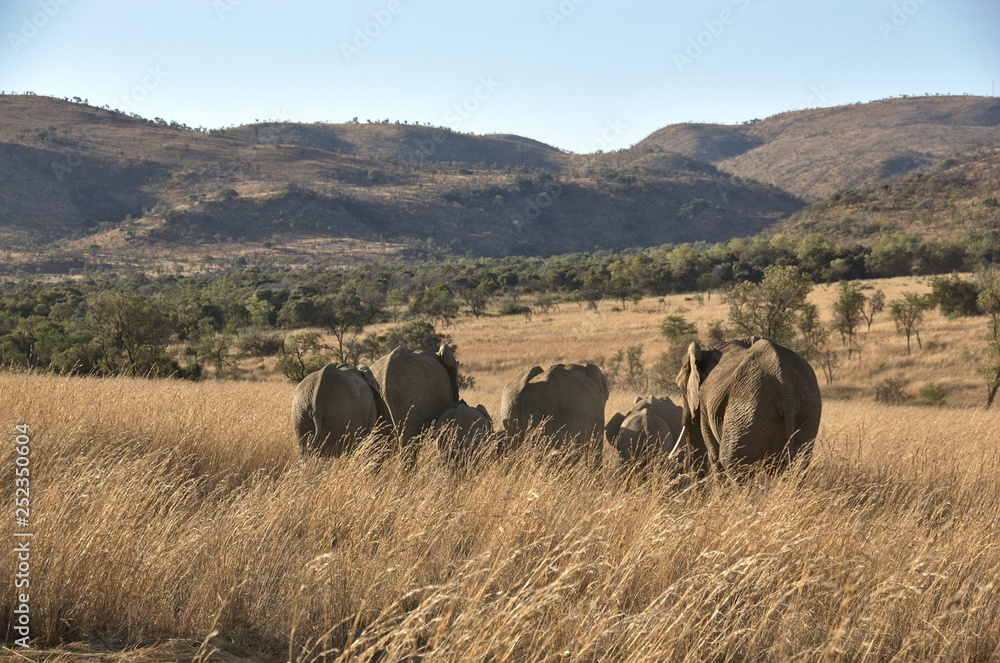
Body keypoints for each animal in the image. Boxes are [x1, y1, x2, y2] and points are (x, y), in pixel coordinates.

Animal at [675, 336, 821, 478]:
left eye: (680, 388)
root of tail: (787, 397)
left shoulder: (706, 404)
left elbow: (714, 455)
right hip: (808, 410)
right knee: (800, 463)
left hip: (748, 410)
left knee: (732, 462)